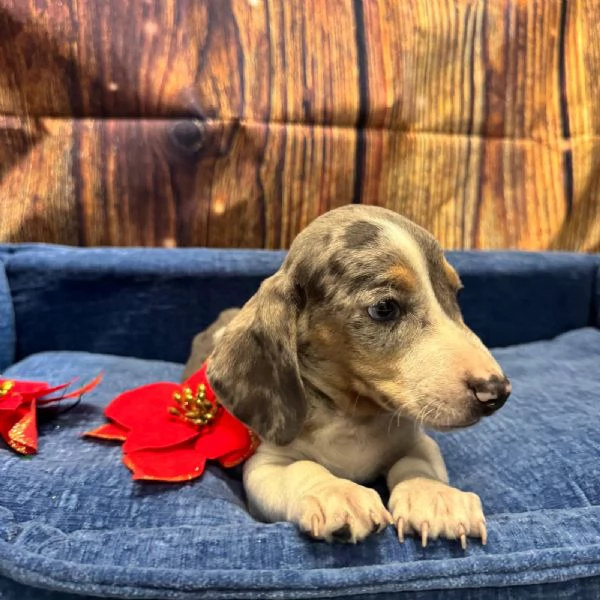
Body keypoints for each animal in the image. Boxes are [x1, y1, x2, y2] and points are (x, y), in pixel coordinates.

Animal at [186, 206, 510, 548]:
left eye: (455, 292)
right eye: (385, 308)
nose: (497, 392)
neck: (352, 419)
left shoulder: (416, 442)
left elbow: (416, 463)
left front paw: (436, 497)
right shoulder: (265, 464)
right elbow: (301, 468)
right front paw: (337, 494)